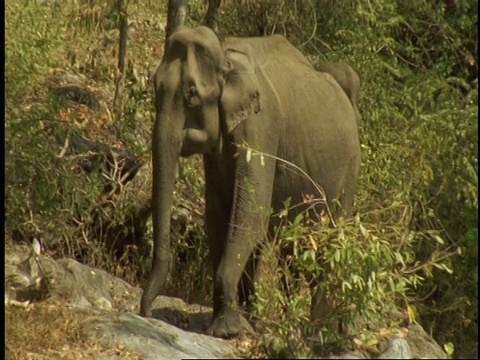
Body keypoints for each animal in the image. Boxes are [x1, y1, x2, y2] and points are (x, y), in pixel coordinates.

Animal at [141, 25, 362, 338]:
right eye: (155, 85)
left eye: (192, 94)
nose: (146, 312)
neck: (227, 57)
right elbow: (219, 219)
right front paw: (232, 325)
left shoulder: (261, 128)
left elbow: (248, 218)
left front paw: (225, 331)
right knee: (289, 250)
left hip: (350, 172)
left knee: (329, 240)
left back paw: (315, 330)